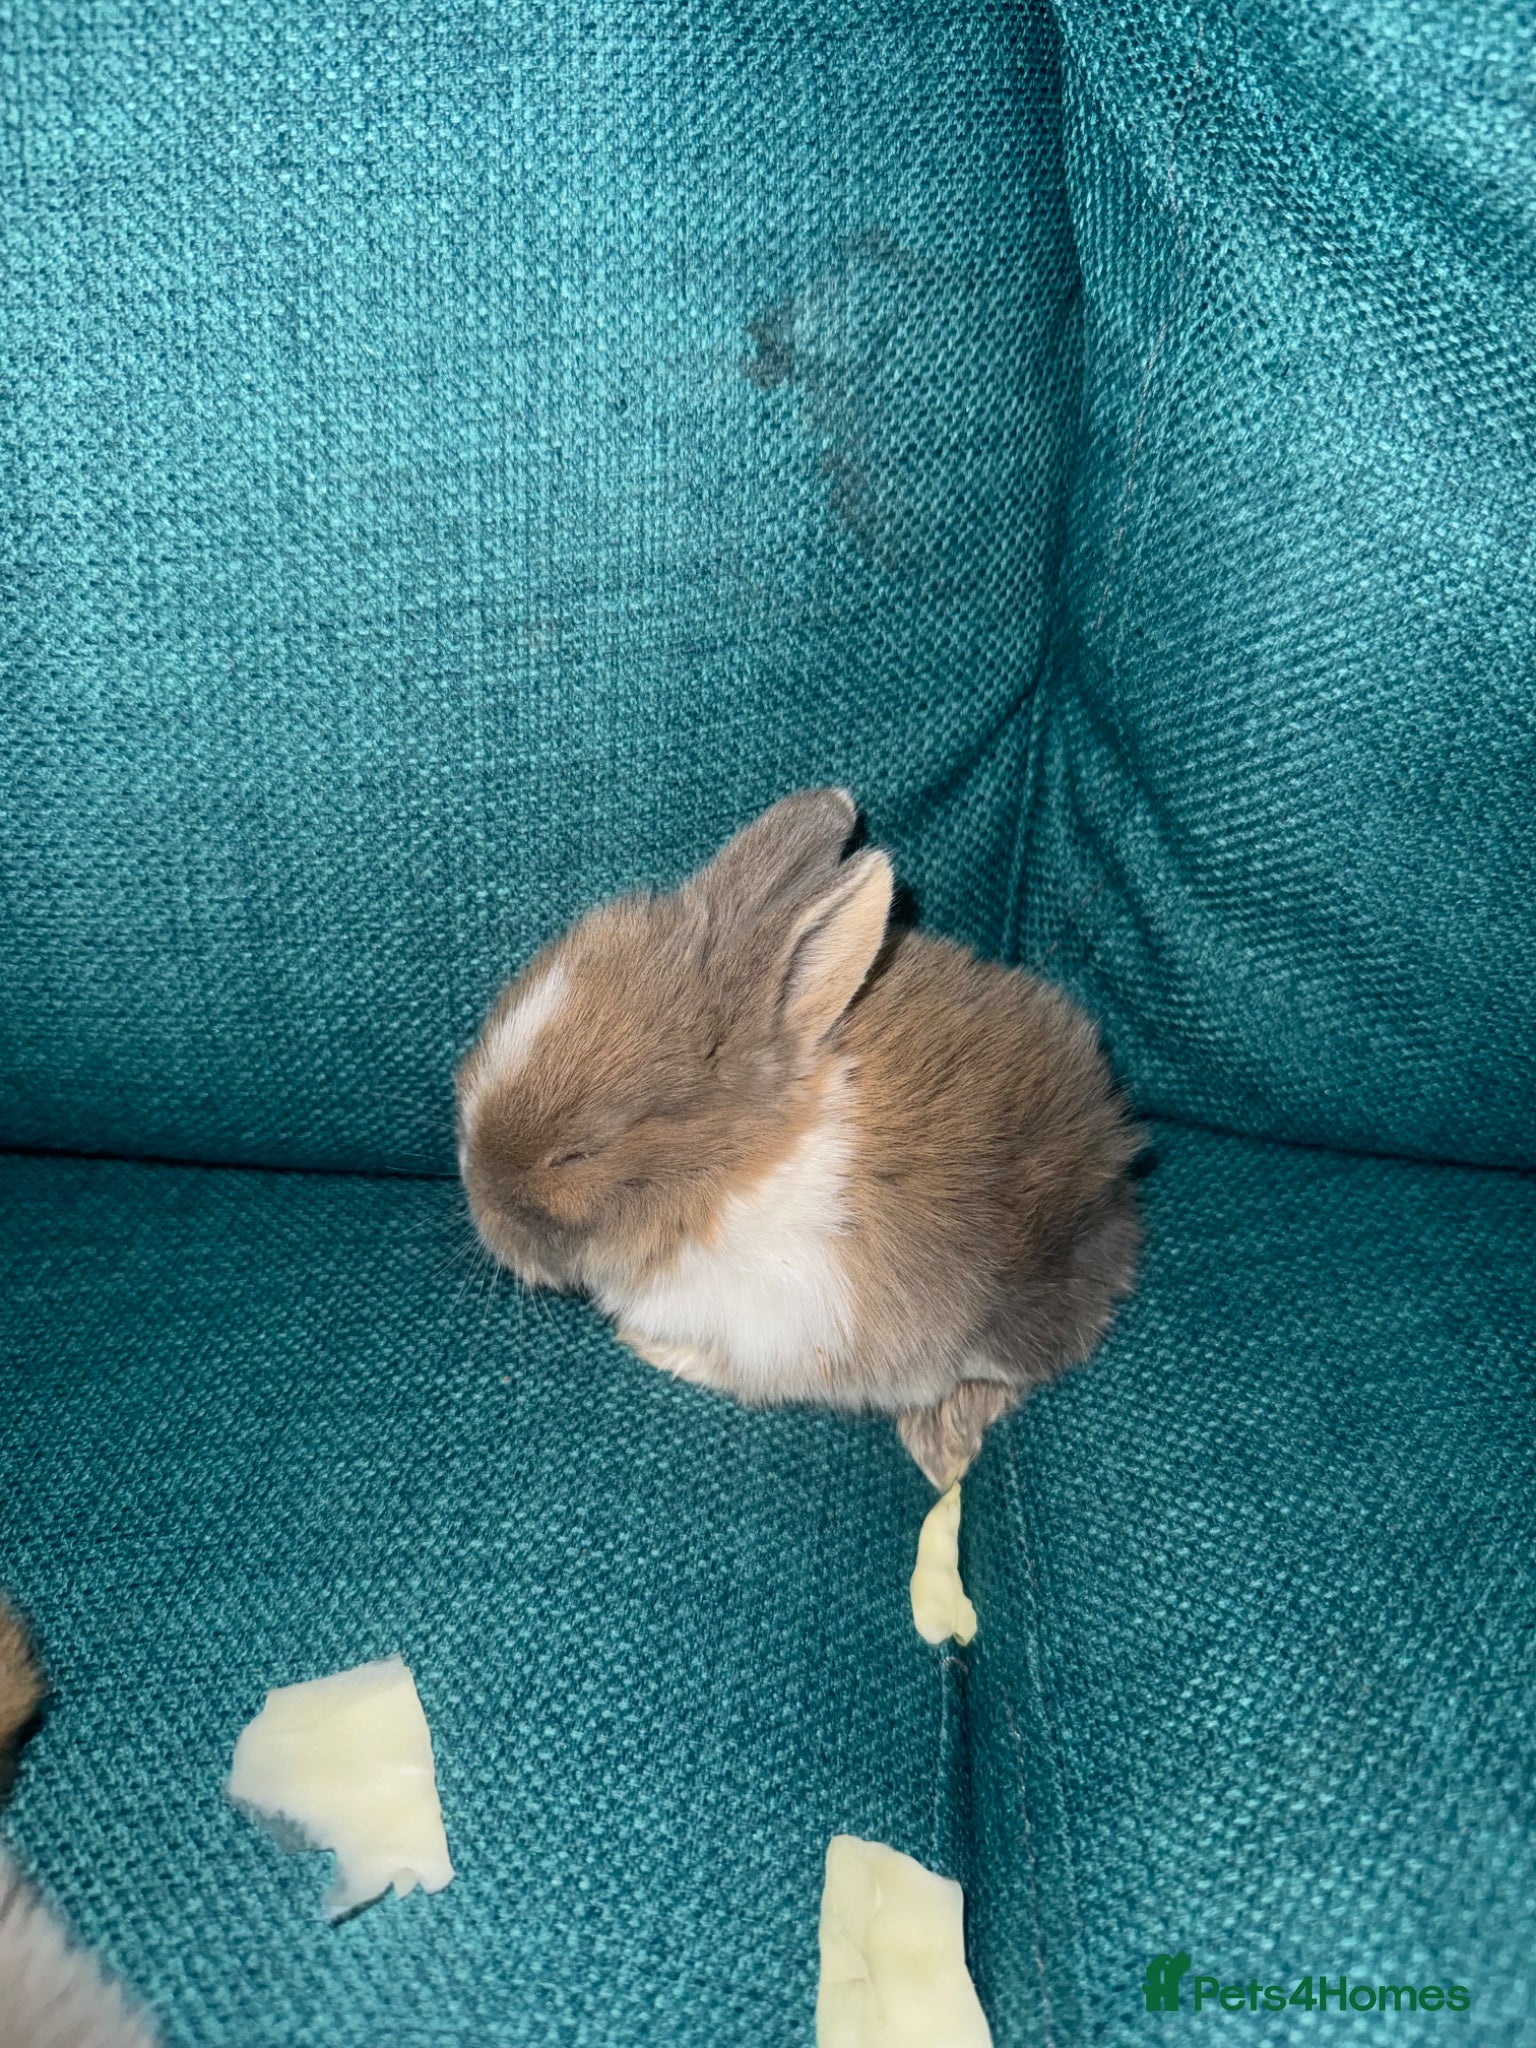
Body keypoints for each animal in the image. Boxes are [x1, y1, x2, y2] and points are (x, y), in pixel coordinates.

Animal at [458, 788, 1141, 1489]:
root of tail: (1113, 1150)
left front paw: (655, 1350)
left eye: (577, 1154)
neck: (728, 1176)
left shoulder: (779, 1333)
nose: (476, 1201)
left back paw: (940, 1446)